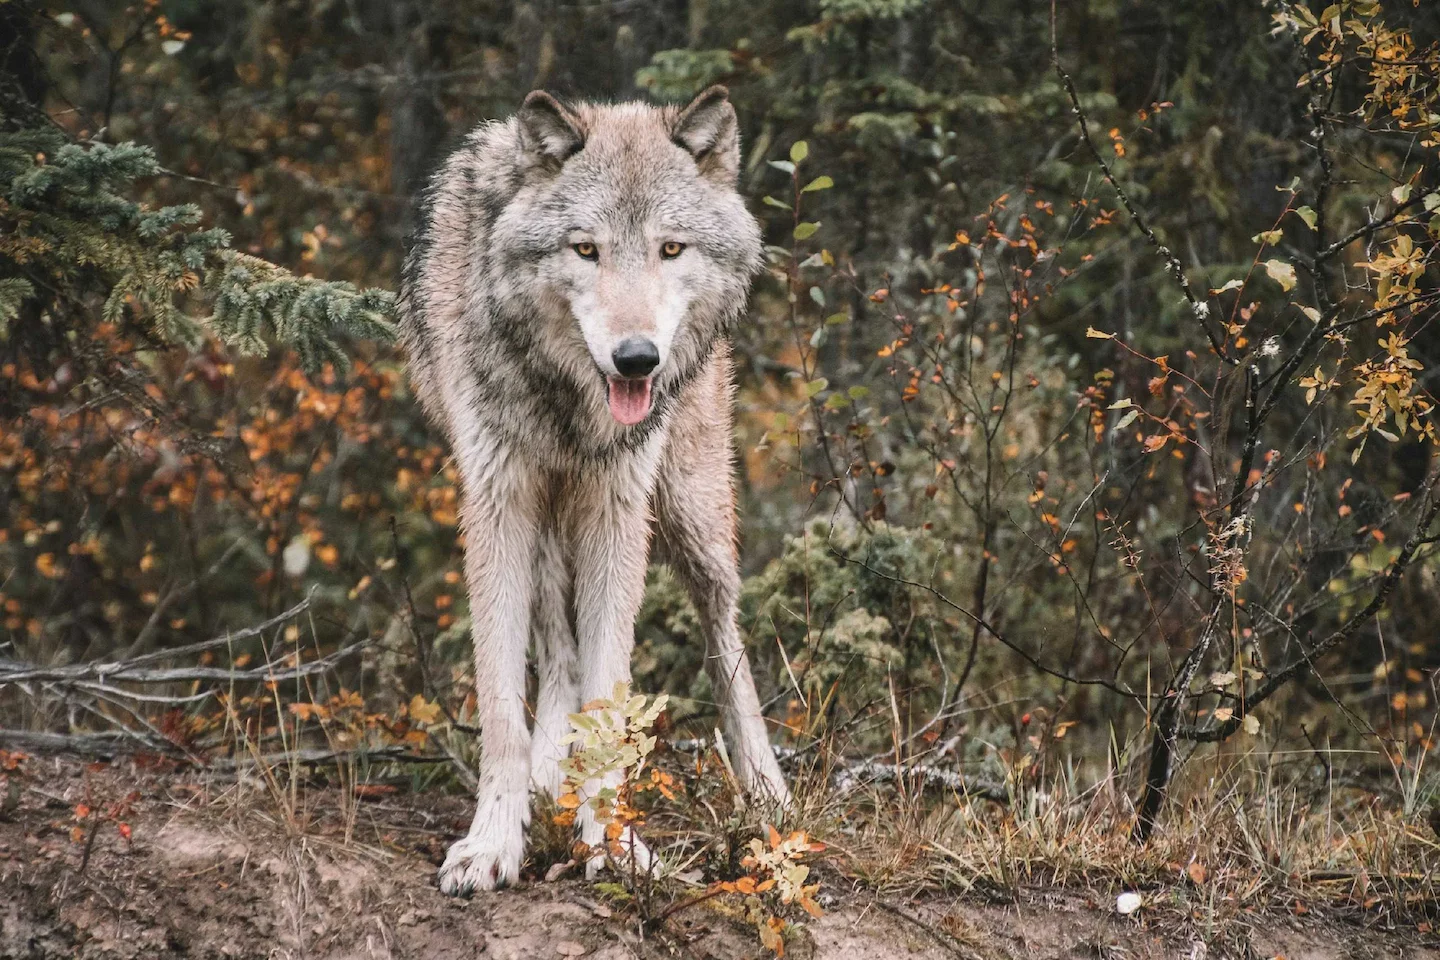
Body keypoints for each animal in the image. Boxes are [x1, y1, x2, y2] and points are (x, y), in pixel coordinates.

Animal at [398, 86, 791, 895]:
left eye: (671, 249)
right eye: (586, 250)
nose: (637, 359)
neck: (567, 398)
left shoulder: (619, 508)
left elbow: (611, 696)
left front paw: (610, 844)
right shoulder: (497, 501)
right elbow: (503, 706)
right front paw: (493, 842)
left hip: (690, 515)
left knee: (725, 633)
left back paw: (766, 791)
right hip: (551, 520)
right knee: (556, 644)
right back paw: (551, 773)